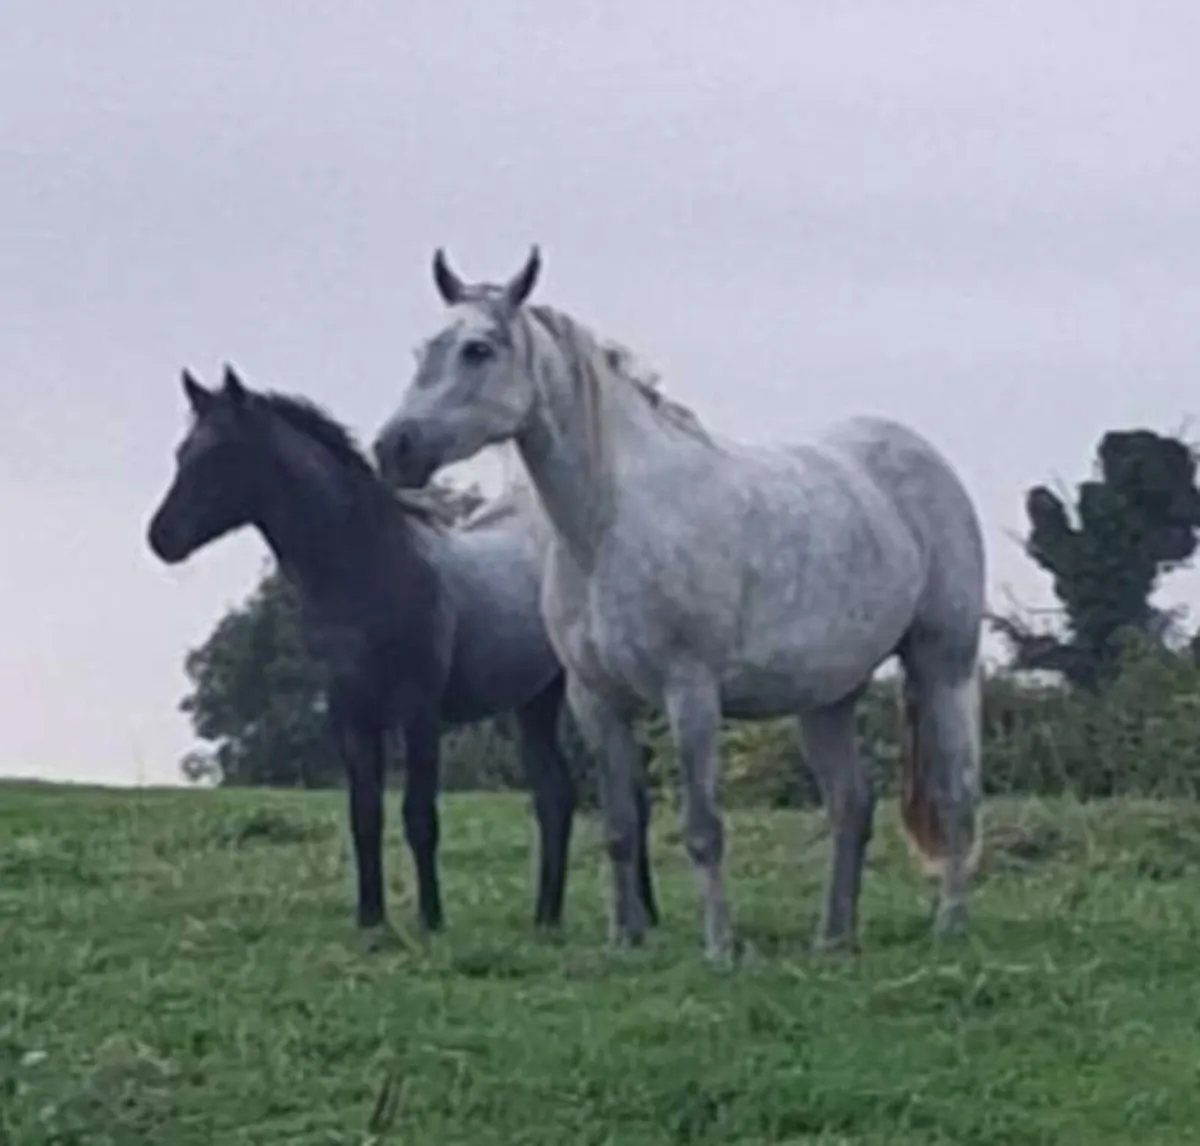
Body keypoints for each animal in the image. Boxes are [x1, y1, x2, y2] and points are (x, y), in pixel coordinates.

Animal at [146, 365, 660, 945]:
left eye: (221, 453)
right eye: (182, 452)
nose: (161, 537)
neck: (370, 569)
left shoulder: (419, 712)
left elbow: (419, 815)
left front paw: (431, 919)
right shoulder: (351, 714)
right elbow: (365, 815)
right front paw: (370, 920)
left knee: (630, 791)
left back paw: (643, 914)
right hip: (533, 704)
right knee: (556, 796)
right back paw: (545, 917)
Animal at [373, 247, 986, 963]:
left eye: (478, 349)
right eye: (425, 347)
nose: (394, 448)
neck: (609, 524)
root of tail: (923, 458)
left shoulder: (689, 694)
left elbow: (701, 828)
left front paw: (720, 948)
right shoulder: (595, 700)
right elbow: (617, 828)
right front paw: (625, 940)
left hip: (943, 666)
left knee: (956, 795)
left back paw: (950, 925)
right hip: (827, 697)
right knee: (851, 807)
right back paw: (833, 938)